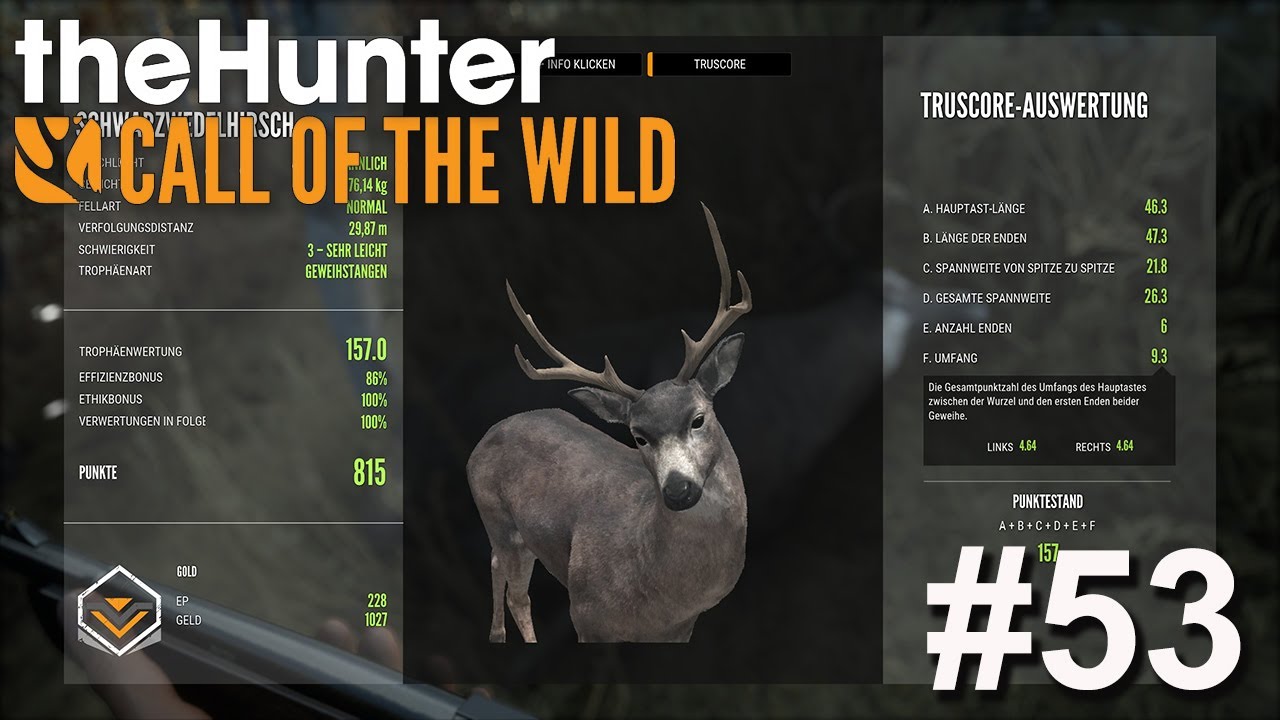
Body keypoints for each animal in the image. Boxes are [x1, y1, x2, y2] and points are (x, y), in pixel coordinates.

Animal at [467, 204, 752, 643]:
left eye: (698, 418)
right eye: (638, 437)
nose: (678, 490)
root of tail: (490, 433)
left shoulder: (681, 629)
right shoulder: (586, 613)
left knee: (504, 574)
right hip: (494, 515)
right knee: (512, 585)